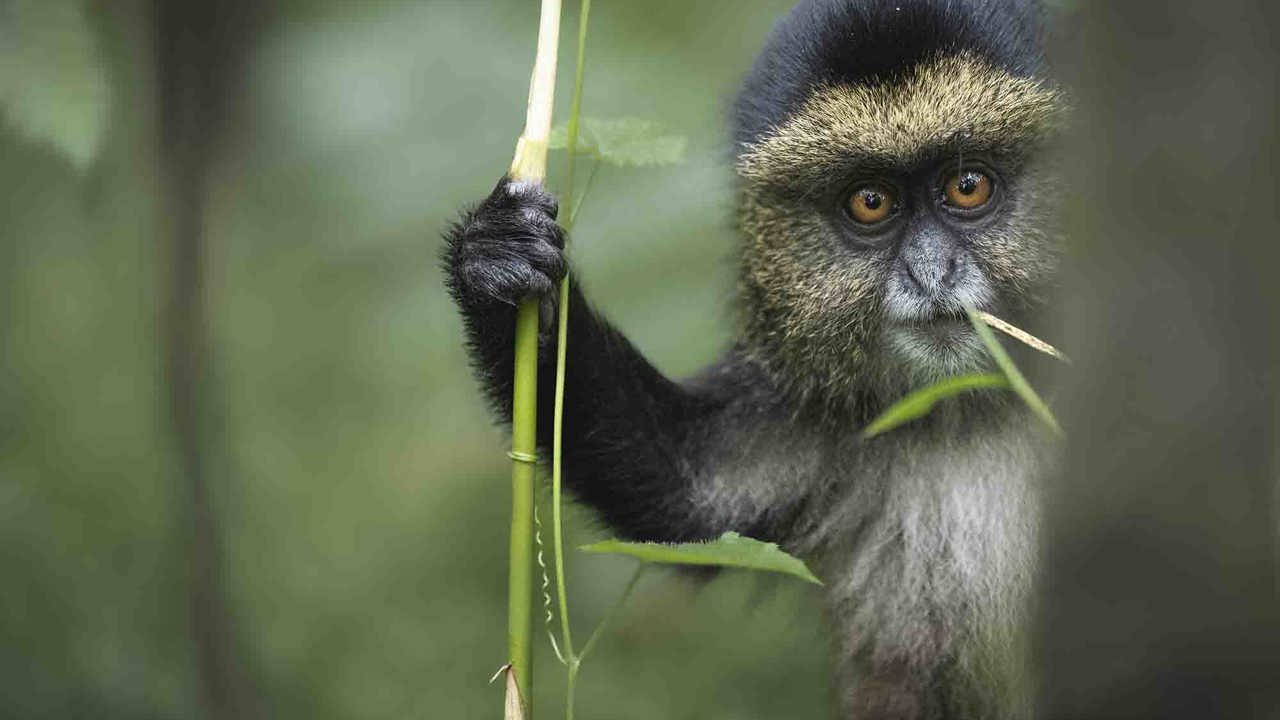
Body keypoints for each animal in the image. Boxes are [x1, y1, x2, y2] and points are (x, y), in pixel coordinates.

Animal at [444, 0, 1064, 717]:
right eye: (870, 202)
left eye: (968, 186)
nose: (930, 272)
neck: (972, 407)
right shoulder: (812, 408)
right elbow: (685, 497)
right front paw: (495, 263)